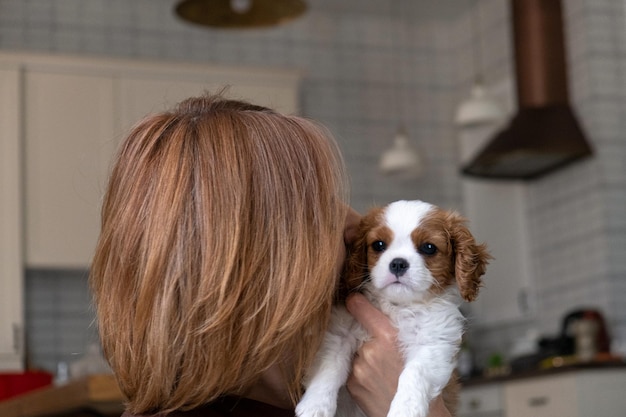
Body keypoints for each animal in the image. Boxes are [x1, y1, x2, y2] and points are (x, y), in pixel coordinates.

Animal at [294, 199, 490, 416]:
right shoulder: (341, 332)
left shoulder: (434, 345)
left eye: (429, 248)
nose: (398, 263)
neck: (398, 306)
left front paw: (406, 408)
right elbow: (329, 366)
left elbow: (415, 372)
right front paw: (315, 405)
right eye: (379, 245)